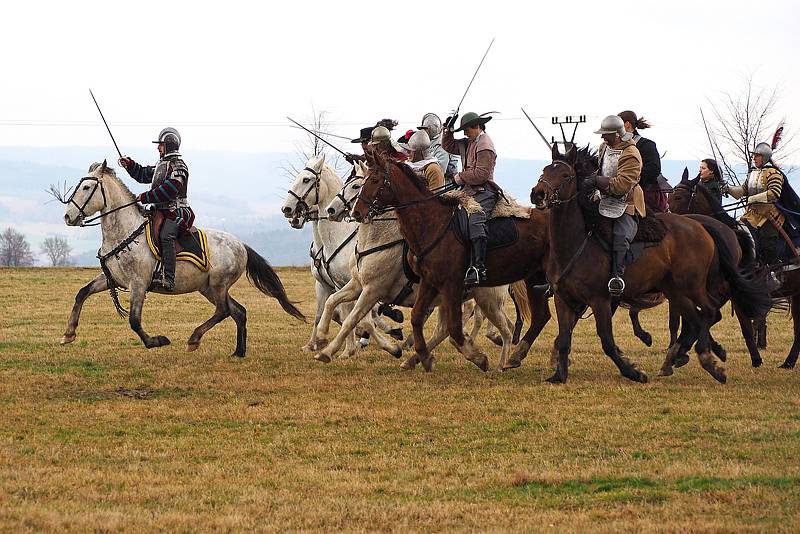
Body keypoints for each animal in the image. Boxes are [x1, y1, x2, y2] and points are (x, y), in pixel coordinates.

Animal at [60, 161, 306, 358]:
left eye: (87, 187)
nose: (68, 217)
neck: (126, 231)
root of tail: (241, 245)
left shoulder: (138, 284)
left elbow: (134, 321)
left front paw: (156, 341)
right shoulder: (113, 278)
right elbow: (82, 293)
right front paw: (68, 334)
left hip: (218, 286)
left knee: (224, 311)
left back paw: (194, 339)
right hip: (208, 288)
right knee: (238, 311)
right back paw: (239, 351)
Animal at [280, 153, 398, 358]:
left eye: (306, 179)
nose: (287, 209)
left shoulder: (355, 285)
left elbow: (354, 316)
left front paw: (347, 349)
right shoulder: (327, 285)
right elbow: (325, 313)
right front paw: (315, 343)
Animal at [316, 162, 516, 372]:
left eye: (357, 186)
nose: (331, 210)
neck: (379, 238)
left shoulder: (373, 290)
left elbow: (352, 320)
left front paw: (328, 351)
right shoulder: (357, 284)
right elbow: (332, 301)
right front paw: (321, 337)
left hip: (488, 298)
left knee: (505, 328)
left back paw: (499, 362)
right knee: (444, 329)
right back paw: (420, 358)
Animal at [350, 152, 552, 372]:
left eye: (374, 180)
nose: (356, 212)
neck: (432, 224)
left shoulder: (450, 285)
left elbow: (454, 327)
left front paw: (478, 357)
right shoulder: (429, 282)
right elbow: (417, 317)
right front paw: (424, 357)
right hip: (533, 280)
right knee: (541, 317)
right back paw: (516, 356)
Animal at [532, 144, 776, 384]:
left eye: (565, 175)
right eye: (545, 170)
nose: (538, 194)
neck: (575, 245)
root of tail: (700, 226)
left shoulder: (600, 300)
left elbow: (607, 342)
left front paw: (633, 372)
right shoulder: (564, 300)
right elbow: (565, 338)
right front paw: (559, 375)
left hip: (693, 286)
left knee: (709, 312)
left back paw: (707, 359)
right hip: (676, 290)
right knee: (697, 319)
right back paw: (682, 358)